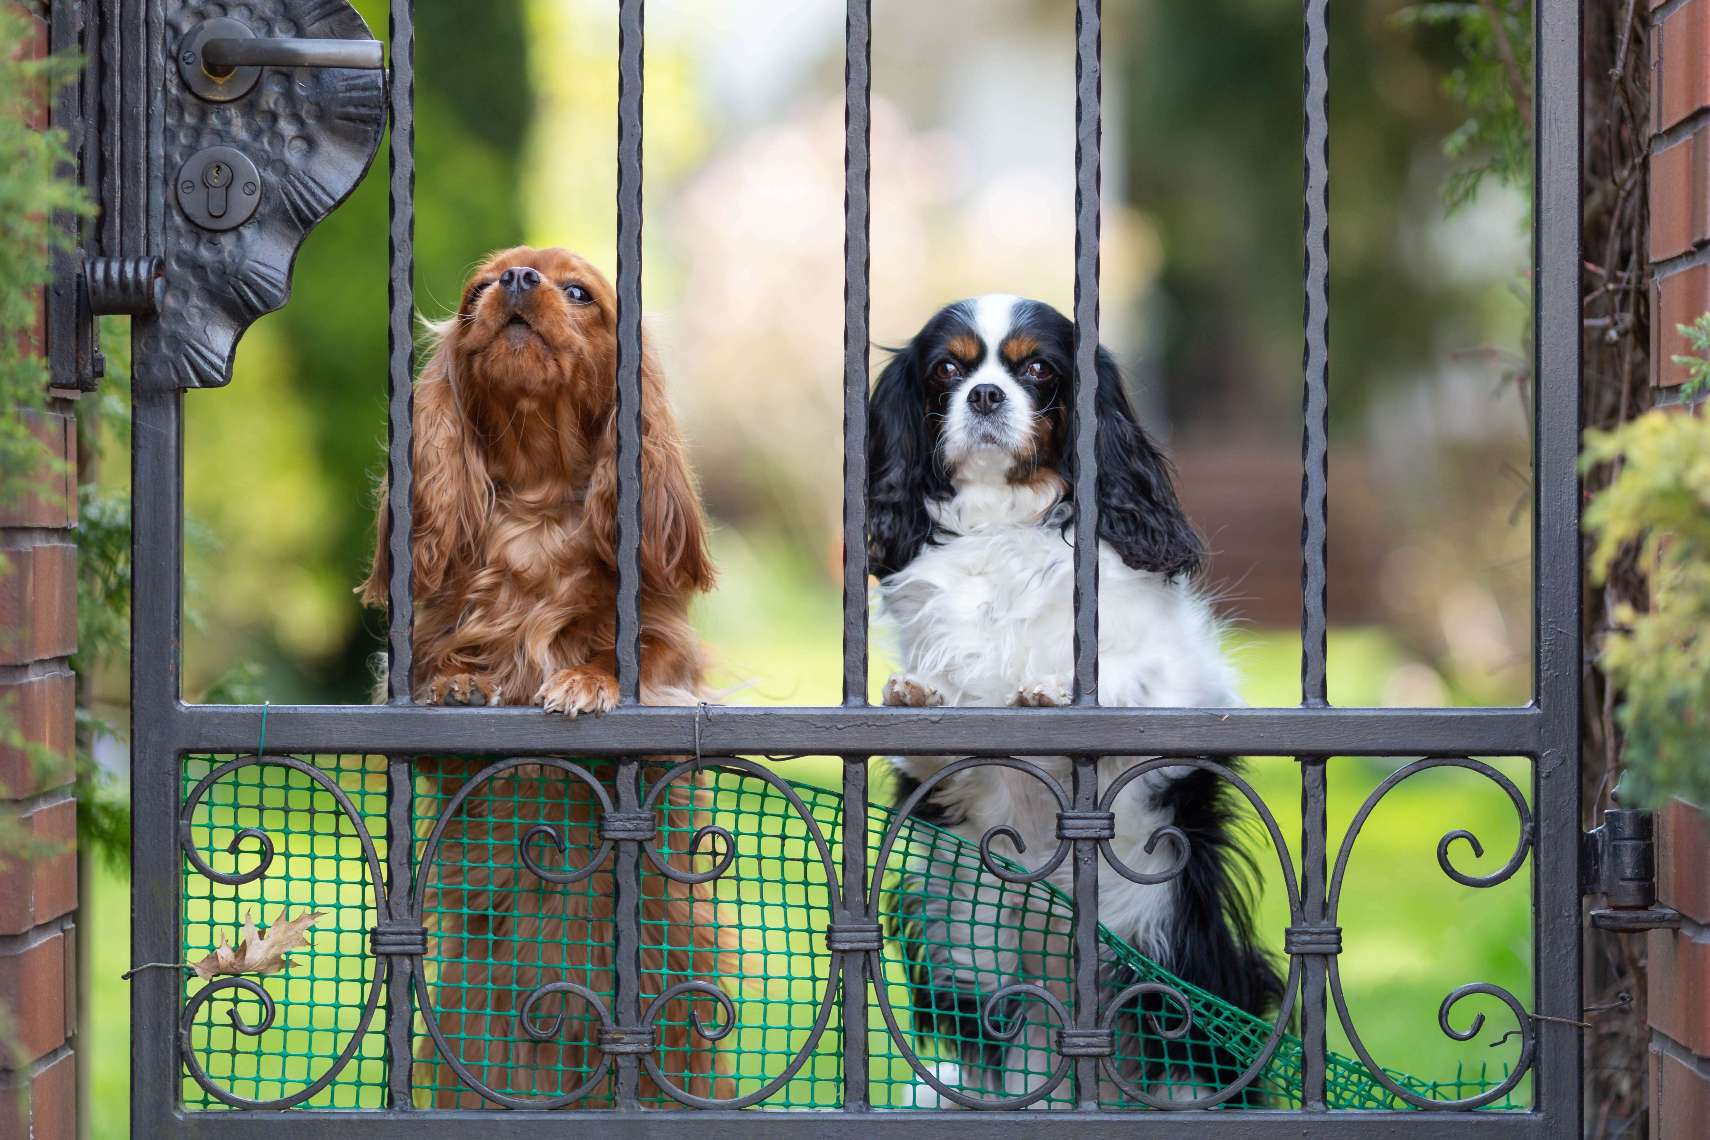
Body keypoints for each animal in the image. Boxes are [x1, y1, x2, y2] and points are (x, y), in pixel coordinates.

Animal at [357, 247, 731, 1107]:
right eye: (478, 289)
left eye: (579, 292)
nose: (519, 279)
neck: (536, 503)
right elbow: (441, 673)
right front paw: (462, 684)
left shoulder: (671, 658)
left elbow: (636, 661)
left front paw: (586, 681)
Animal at [868, 297, 1285, 1107]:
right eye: (946, 370)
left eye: (1037, 369)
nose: (985, 395)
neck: (1003, 522)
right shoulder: (956, 789)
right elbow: (938, 744)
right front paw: (923, 690)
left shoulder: (1183, 687)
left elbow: (1125, 682)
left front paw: (1058, 685)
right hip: (981, 960)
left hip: (1174, 988)